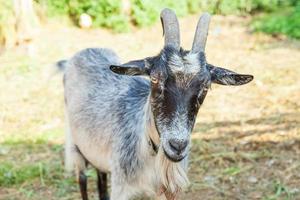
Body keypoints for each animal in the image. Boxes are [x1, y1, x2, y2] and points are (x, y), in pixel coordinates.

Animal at [60, 8, 253, 200]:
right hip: (76, 147)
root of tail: (86, 51)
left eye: (206, 86)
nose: (177, 146)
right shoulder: (121, 189)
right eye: (154, 78)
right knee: (82, 179)